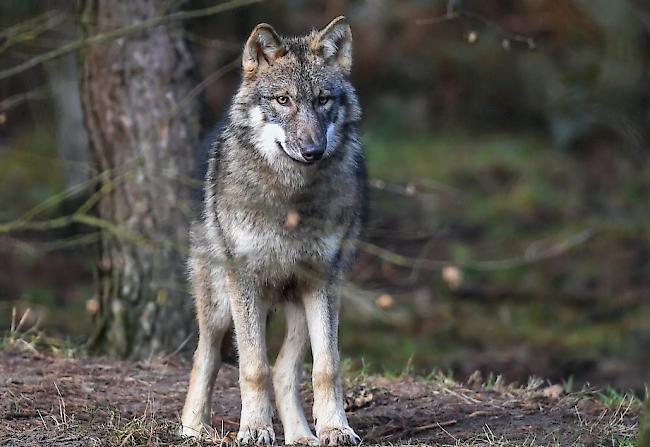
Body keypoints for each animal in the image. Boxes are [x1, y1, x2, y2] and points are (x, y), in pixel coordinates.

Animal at [178, 15, 364, 446]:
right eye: (283, 100)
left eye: (322, 100)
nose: (313, 150)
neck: (290, 197)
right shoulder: (243, 279)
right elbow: (253, 368)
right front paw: (254, 428)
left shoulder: (323, 279)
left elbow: (327, 367)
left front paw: (335, 428)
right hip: (220, 303)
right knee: (206, 356)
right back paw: (192, 428)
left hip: (300, 304)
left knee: (285, 371)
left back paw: (301, 436)